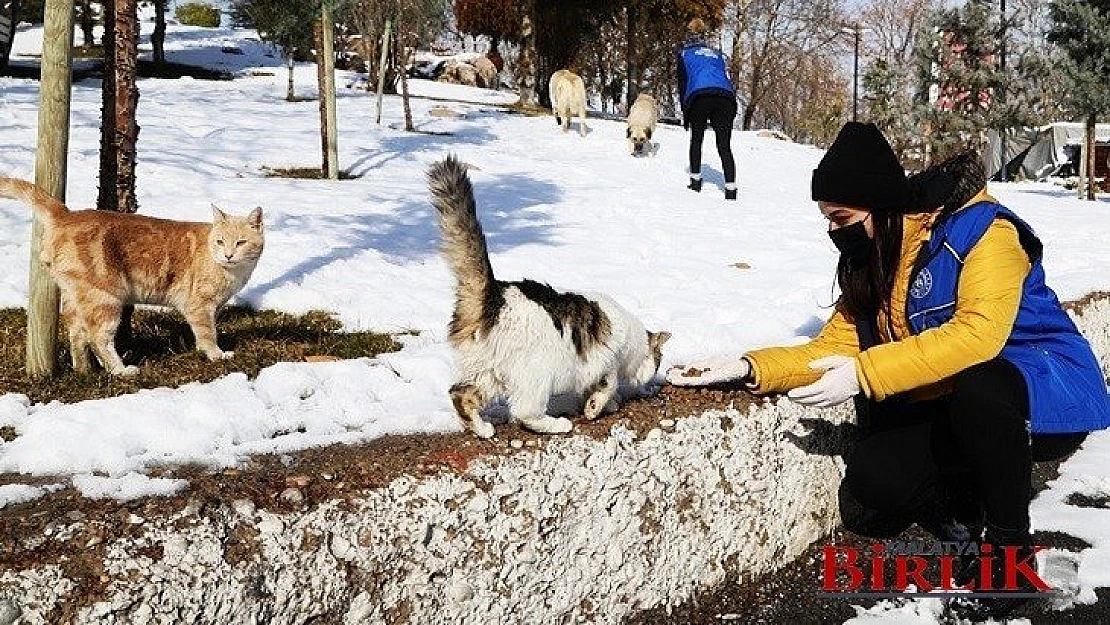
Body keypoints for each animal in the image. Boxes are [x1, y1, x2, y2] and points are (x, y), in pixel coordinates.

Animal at [0, 177, 264, 377]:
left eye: (240, 242)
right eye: (220, 241)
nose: (228, 255)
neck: (233, 272)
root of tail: (67, 214)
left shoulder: (214, 306)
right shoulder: (199, 306)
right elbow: (208, 334)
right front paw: (216, 355)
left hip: (75, 297)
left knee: (77, 334)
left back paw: (84, 372)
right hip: (105, 299)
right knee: (98, 338)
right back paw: (121, 370)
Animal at [426, 156, 666, 439]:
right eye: (659, 362)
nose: (654, 375)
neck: (632, 337)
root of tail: (493, 294)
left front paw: (603, 405)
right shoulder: (606, 362)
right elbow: (608, 386)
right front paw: (595, 408)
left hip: (485, 374)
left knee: (459, 394)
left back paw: (483, 429)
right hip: (535, 376)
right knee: (523, 413)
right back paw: (558, 424)